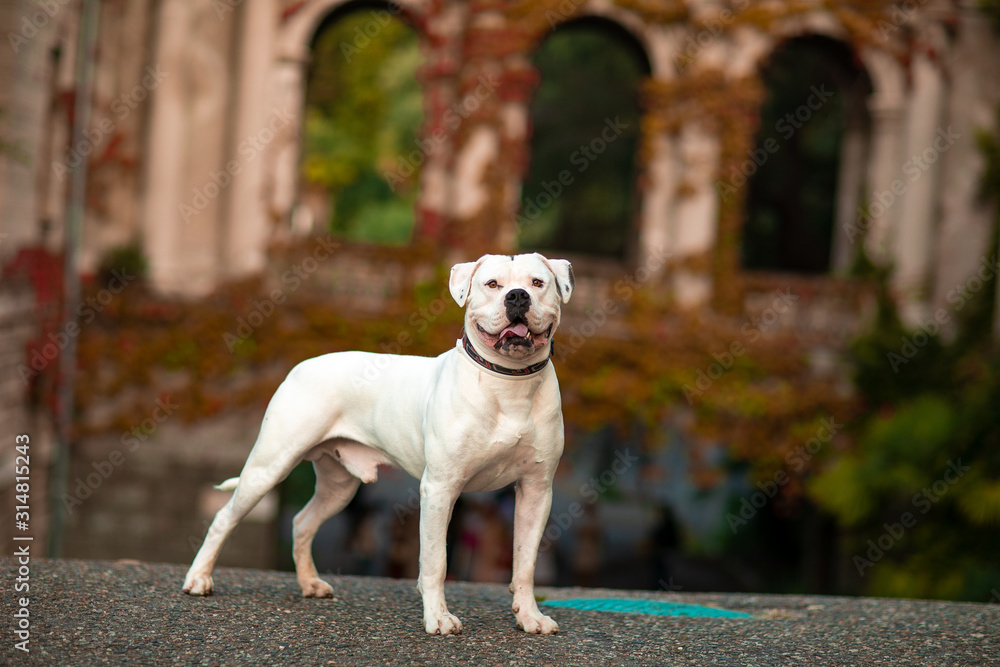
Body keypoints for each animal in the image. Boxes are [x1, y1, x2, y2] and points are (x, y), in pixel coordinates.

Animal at [179, 254, 572, 636]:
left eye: (537, 282)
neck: (509, 383)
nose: (518, 296)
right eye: (493, 284)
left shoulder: (536, 491)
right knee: (224, 517)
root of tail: (302, 365)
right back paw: (199, 579)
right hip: (269, 467)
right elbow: (436, 560)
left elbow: (524, 562)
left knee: (303, 522)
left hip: (339, 486)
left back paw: (309, 583)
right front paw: (438, 618)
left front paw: (530, 617)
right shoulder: (440, 487)